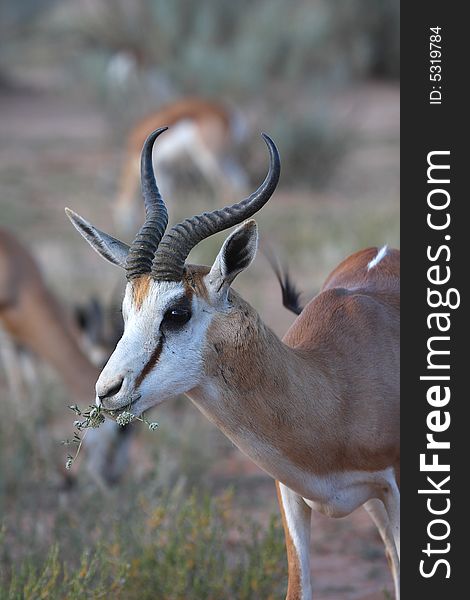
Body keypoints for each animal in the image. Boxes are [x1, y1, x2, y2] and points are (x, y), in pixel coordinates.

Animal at [0, 227, 132, 486]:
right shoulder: (8, 345)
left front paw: (54, 475)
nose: (113, 477)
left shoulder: (27, 347)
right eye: (121, 429)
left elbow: (37, 406)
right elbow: (24, 403)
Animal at [114, 97, 248, 236]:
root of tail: (227, 113)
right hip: (227, 158)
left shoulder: (159, 171)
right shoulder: (167, 172)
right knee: (239, 181)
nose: (123, 232)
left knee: (225, 185)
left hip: (209, 157)